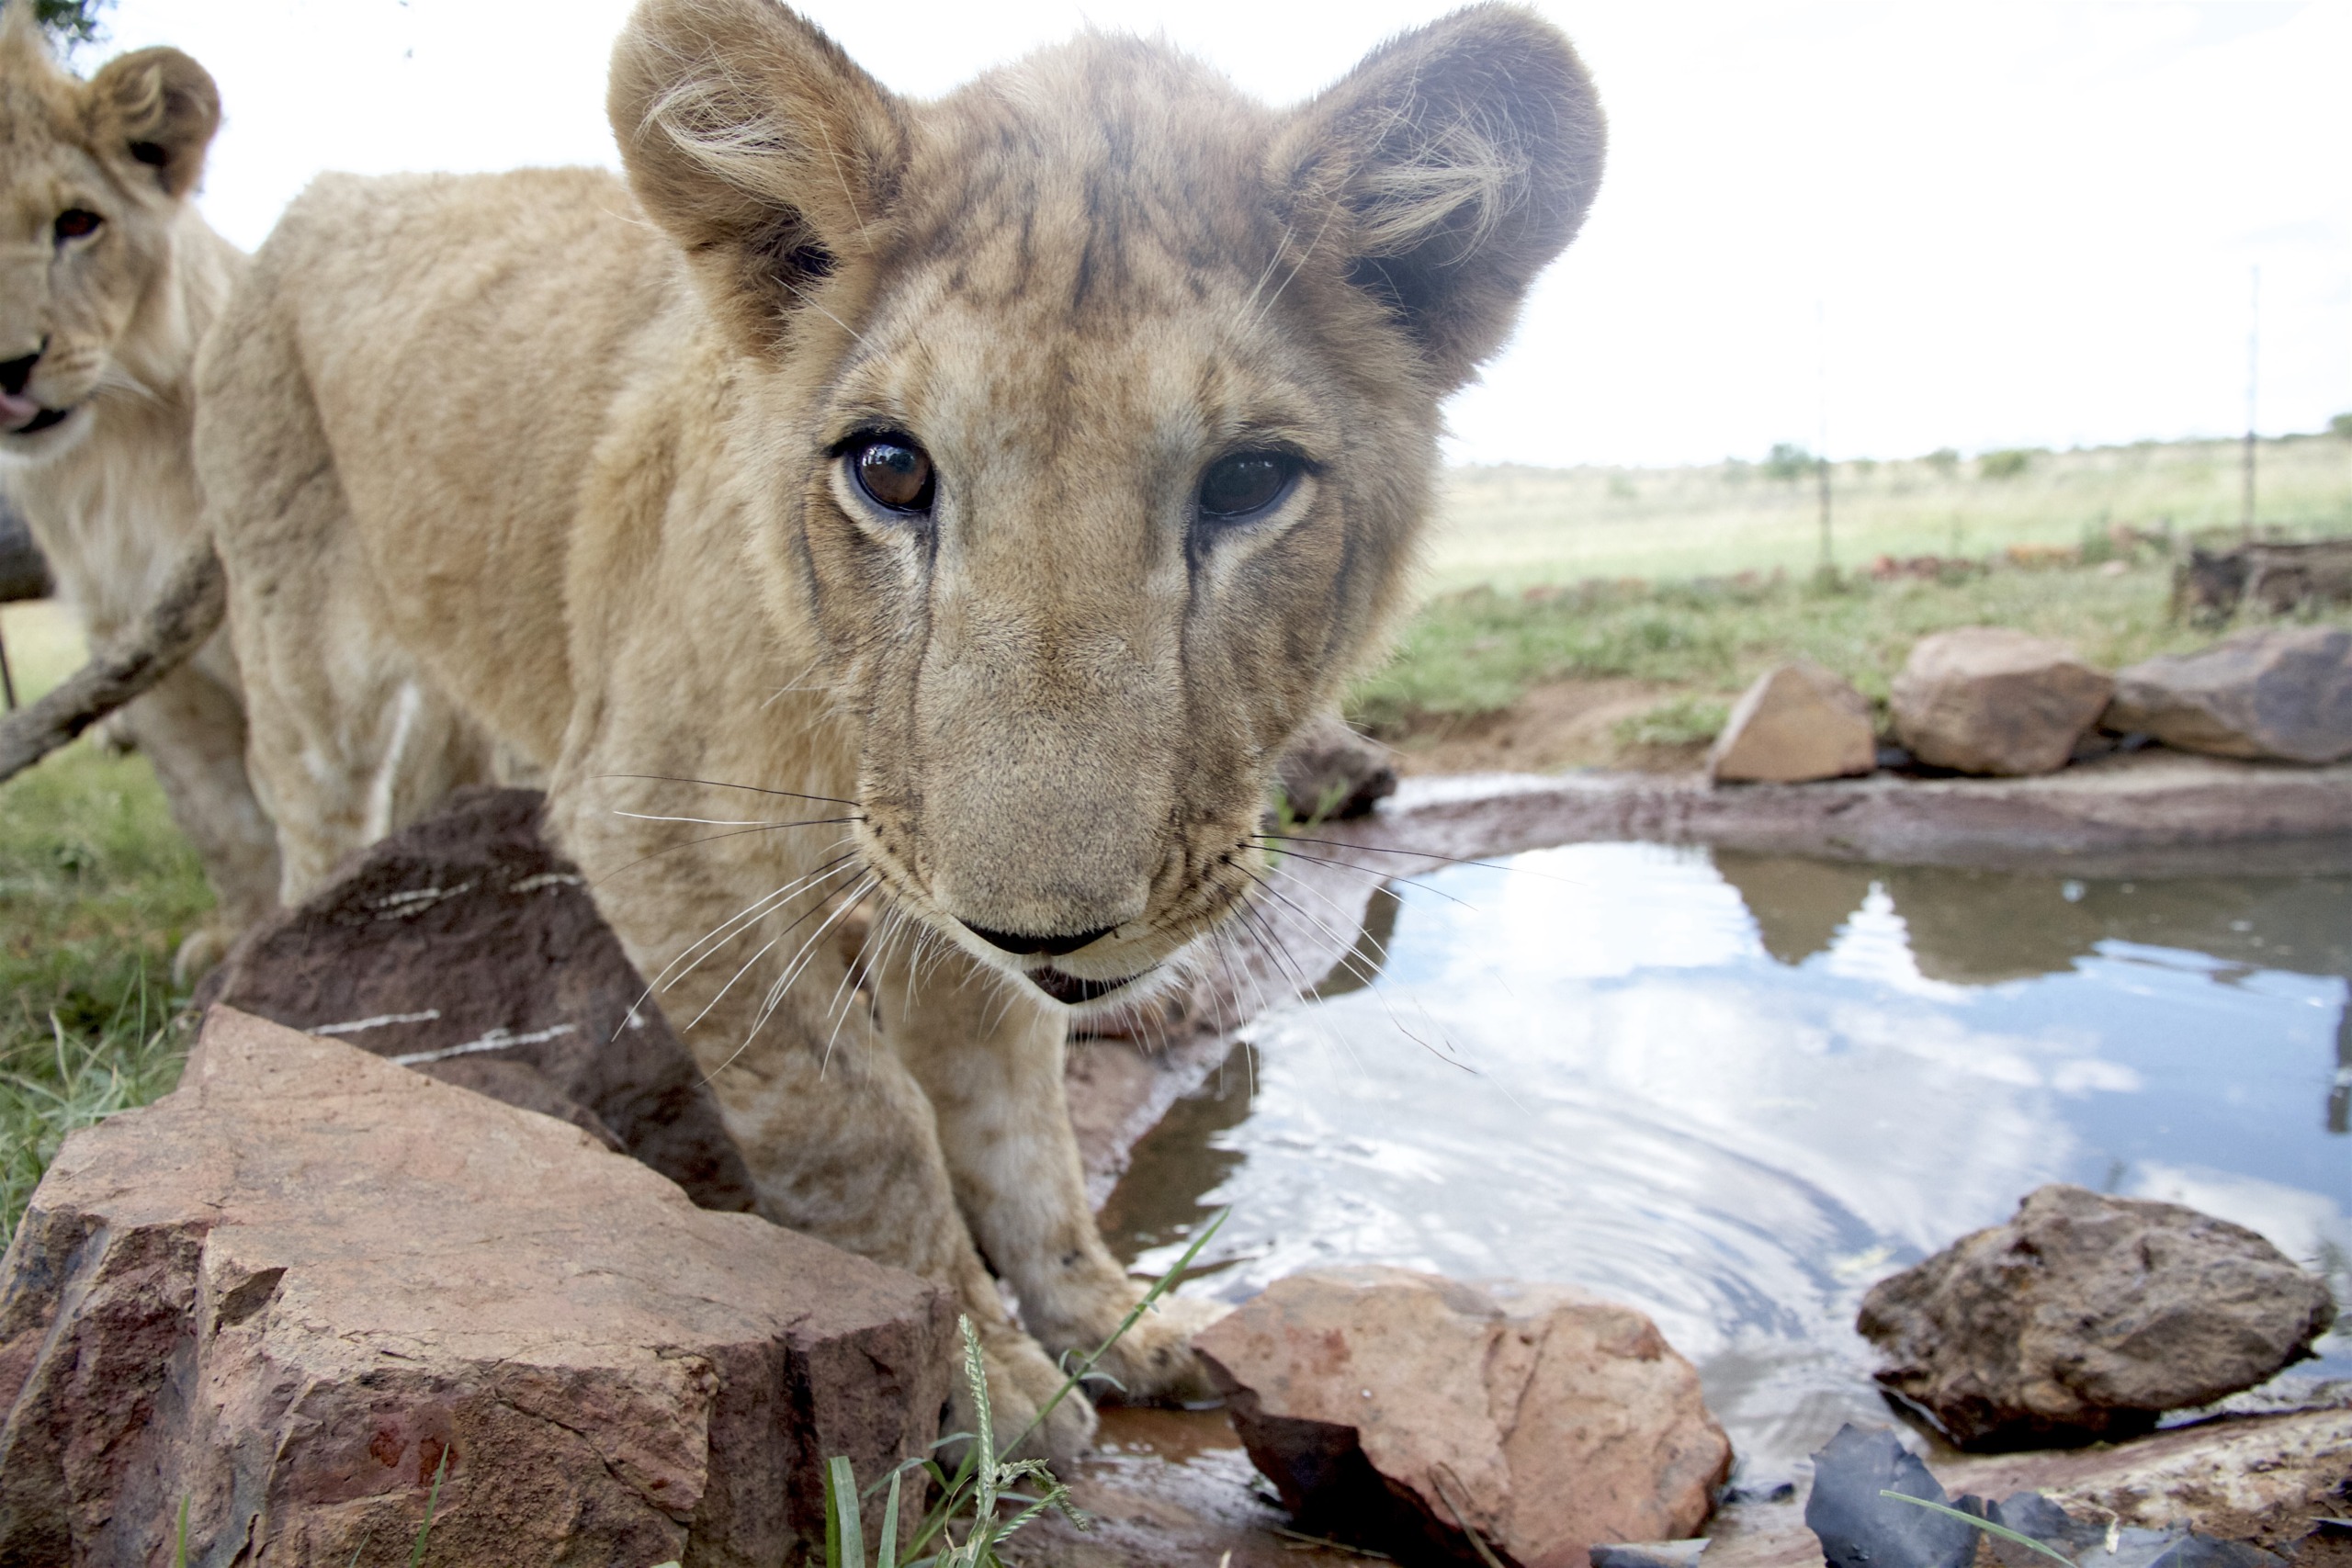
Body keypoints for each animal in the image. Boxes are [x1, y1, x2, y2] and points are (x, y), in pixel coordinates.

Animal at [202, 0, 1609, 1457]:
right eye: (889, 470)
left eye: (1250, 481)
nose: (1046, 930)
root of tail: (321, 191)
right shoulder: (654, 818)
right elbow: (858, 1118)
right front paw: (984, 1393)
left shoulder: (947, 886)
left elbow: (1017, 1115)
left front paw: (1103, 1319)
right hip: (298, 640)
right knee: (311, 819)